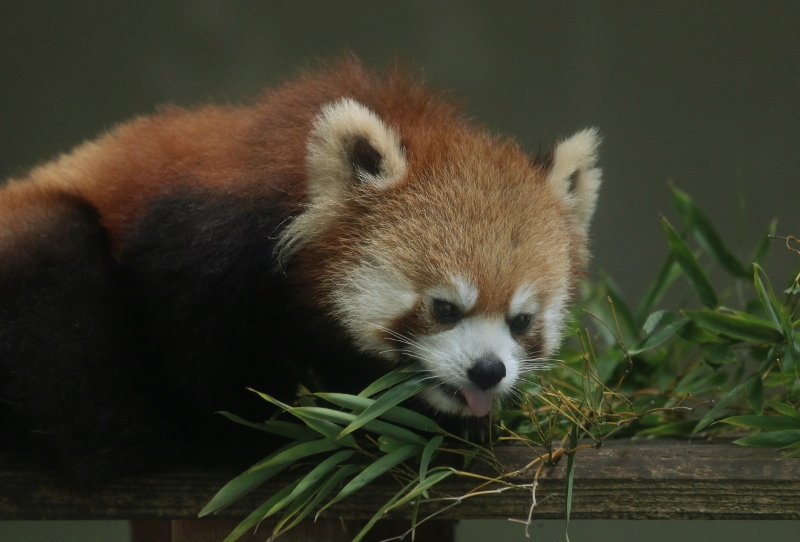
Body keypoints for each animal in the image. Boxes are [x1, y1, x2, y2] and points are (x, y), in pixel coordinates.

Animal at [0, 57, 600, 478]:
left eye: (522, 321)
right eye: (444, 308)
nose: (487, 371)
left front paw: (447, 424)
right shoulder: (196, 243)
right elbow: (196, 349)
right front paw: (249, 431)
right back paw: (129, 438)